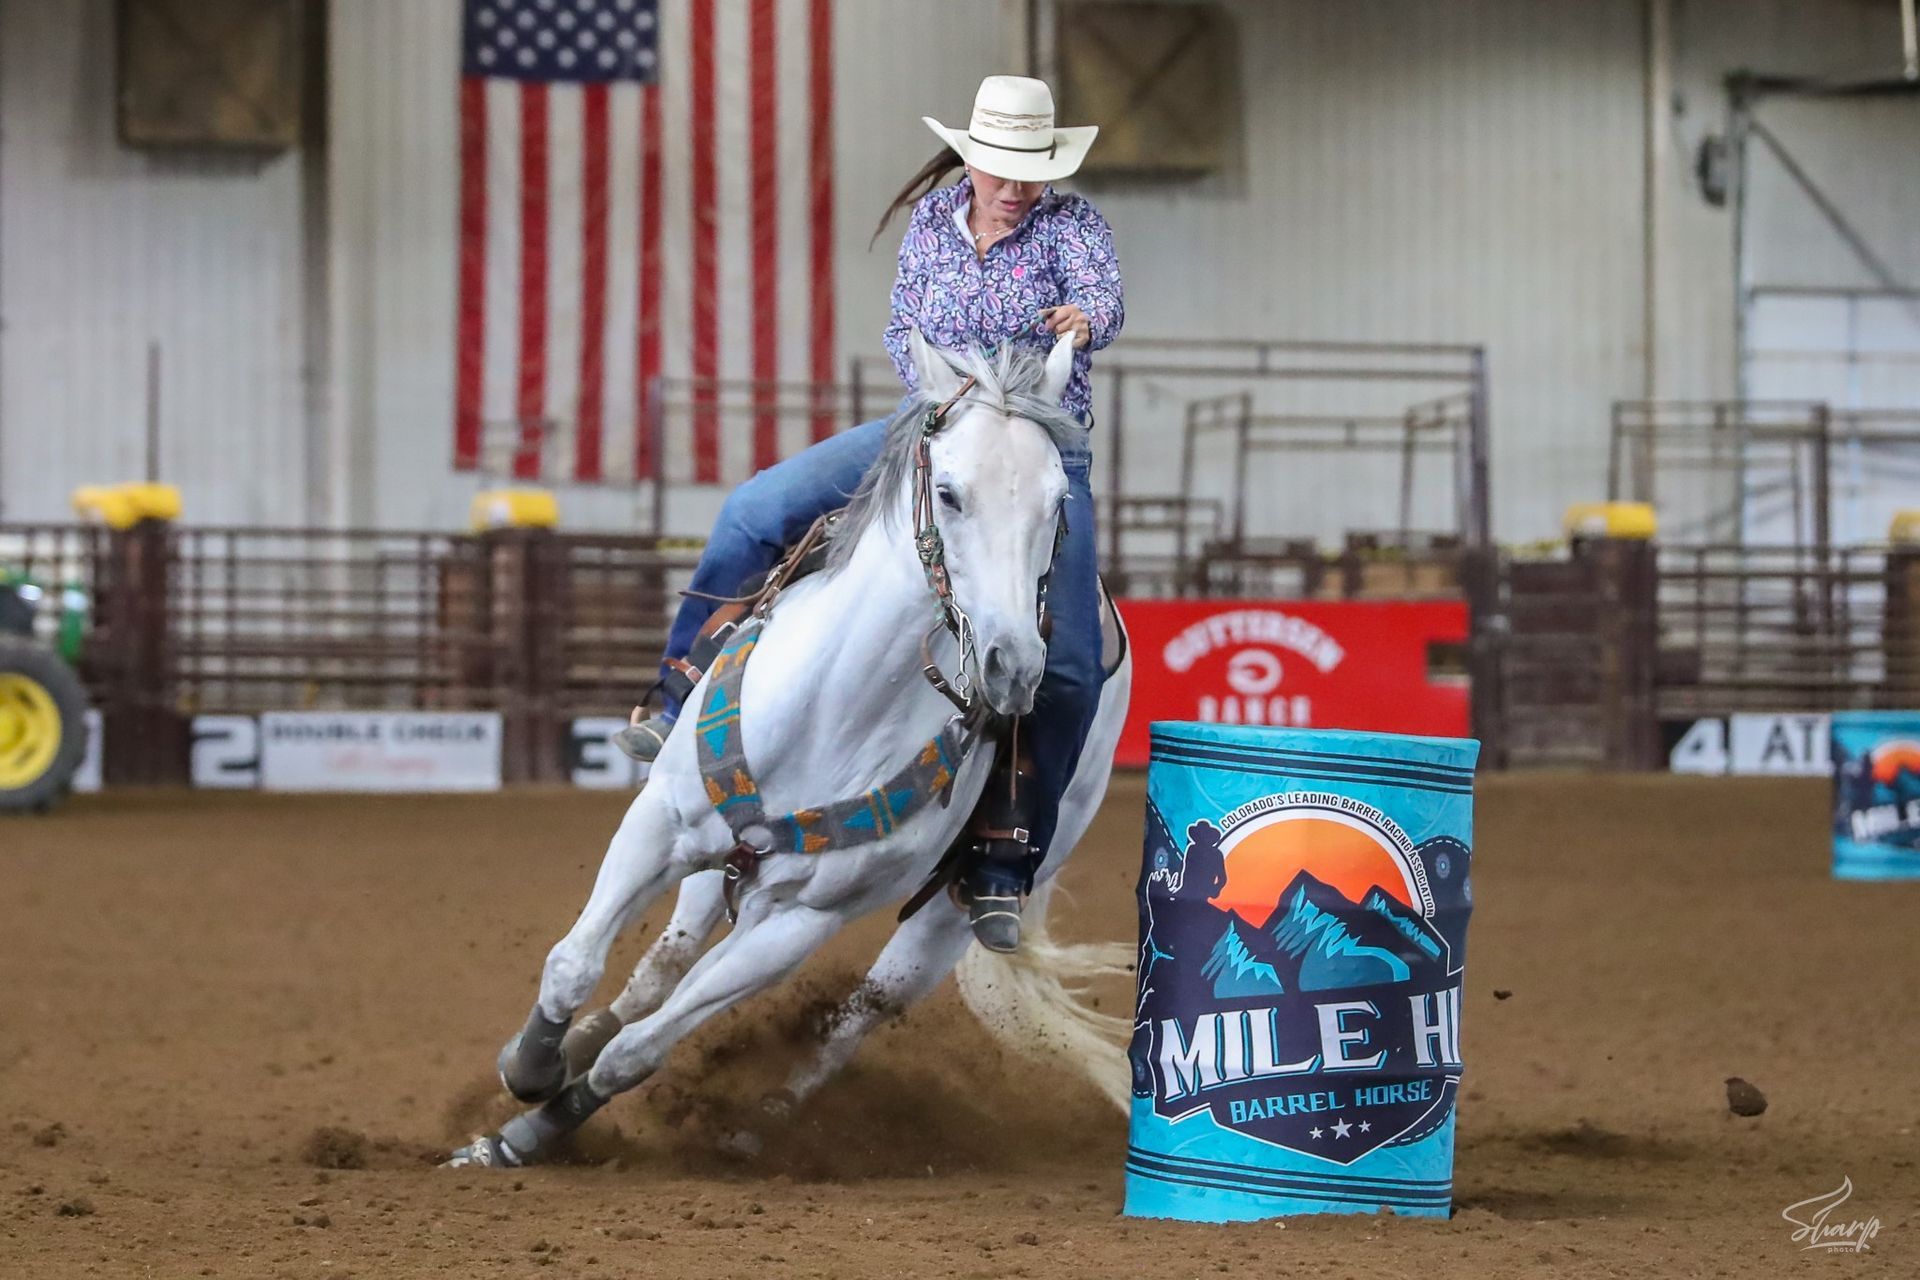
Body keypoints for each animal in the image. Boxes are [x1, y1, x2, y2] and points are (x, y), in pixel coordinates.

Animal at [451, 333, 1128, 1174]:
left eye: (1057, 503)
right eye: (949, 493)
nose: (1013, 666)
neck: (837, 709)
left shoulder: (802, 919)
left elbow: (639, 1053)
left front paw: (525, 1133)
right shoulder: (661, 823)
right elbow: (575, 964)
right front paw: (531, 1067)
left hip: (937, 916)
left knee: (852, 1018)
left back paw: (755, 1124)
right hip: (720, 864)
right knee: (663, 965)